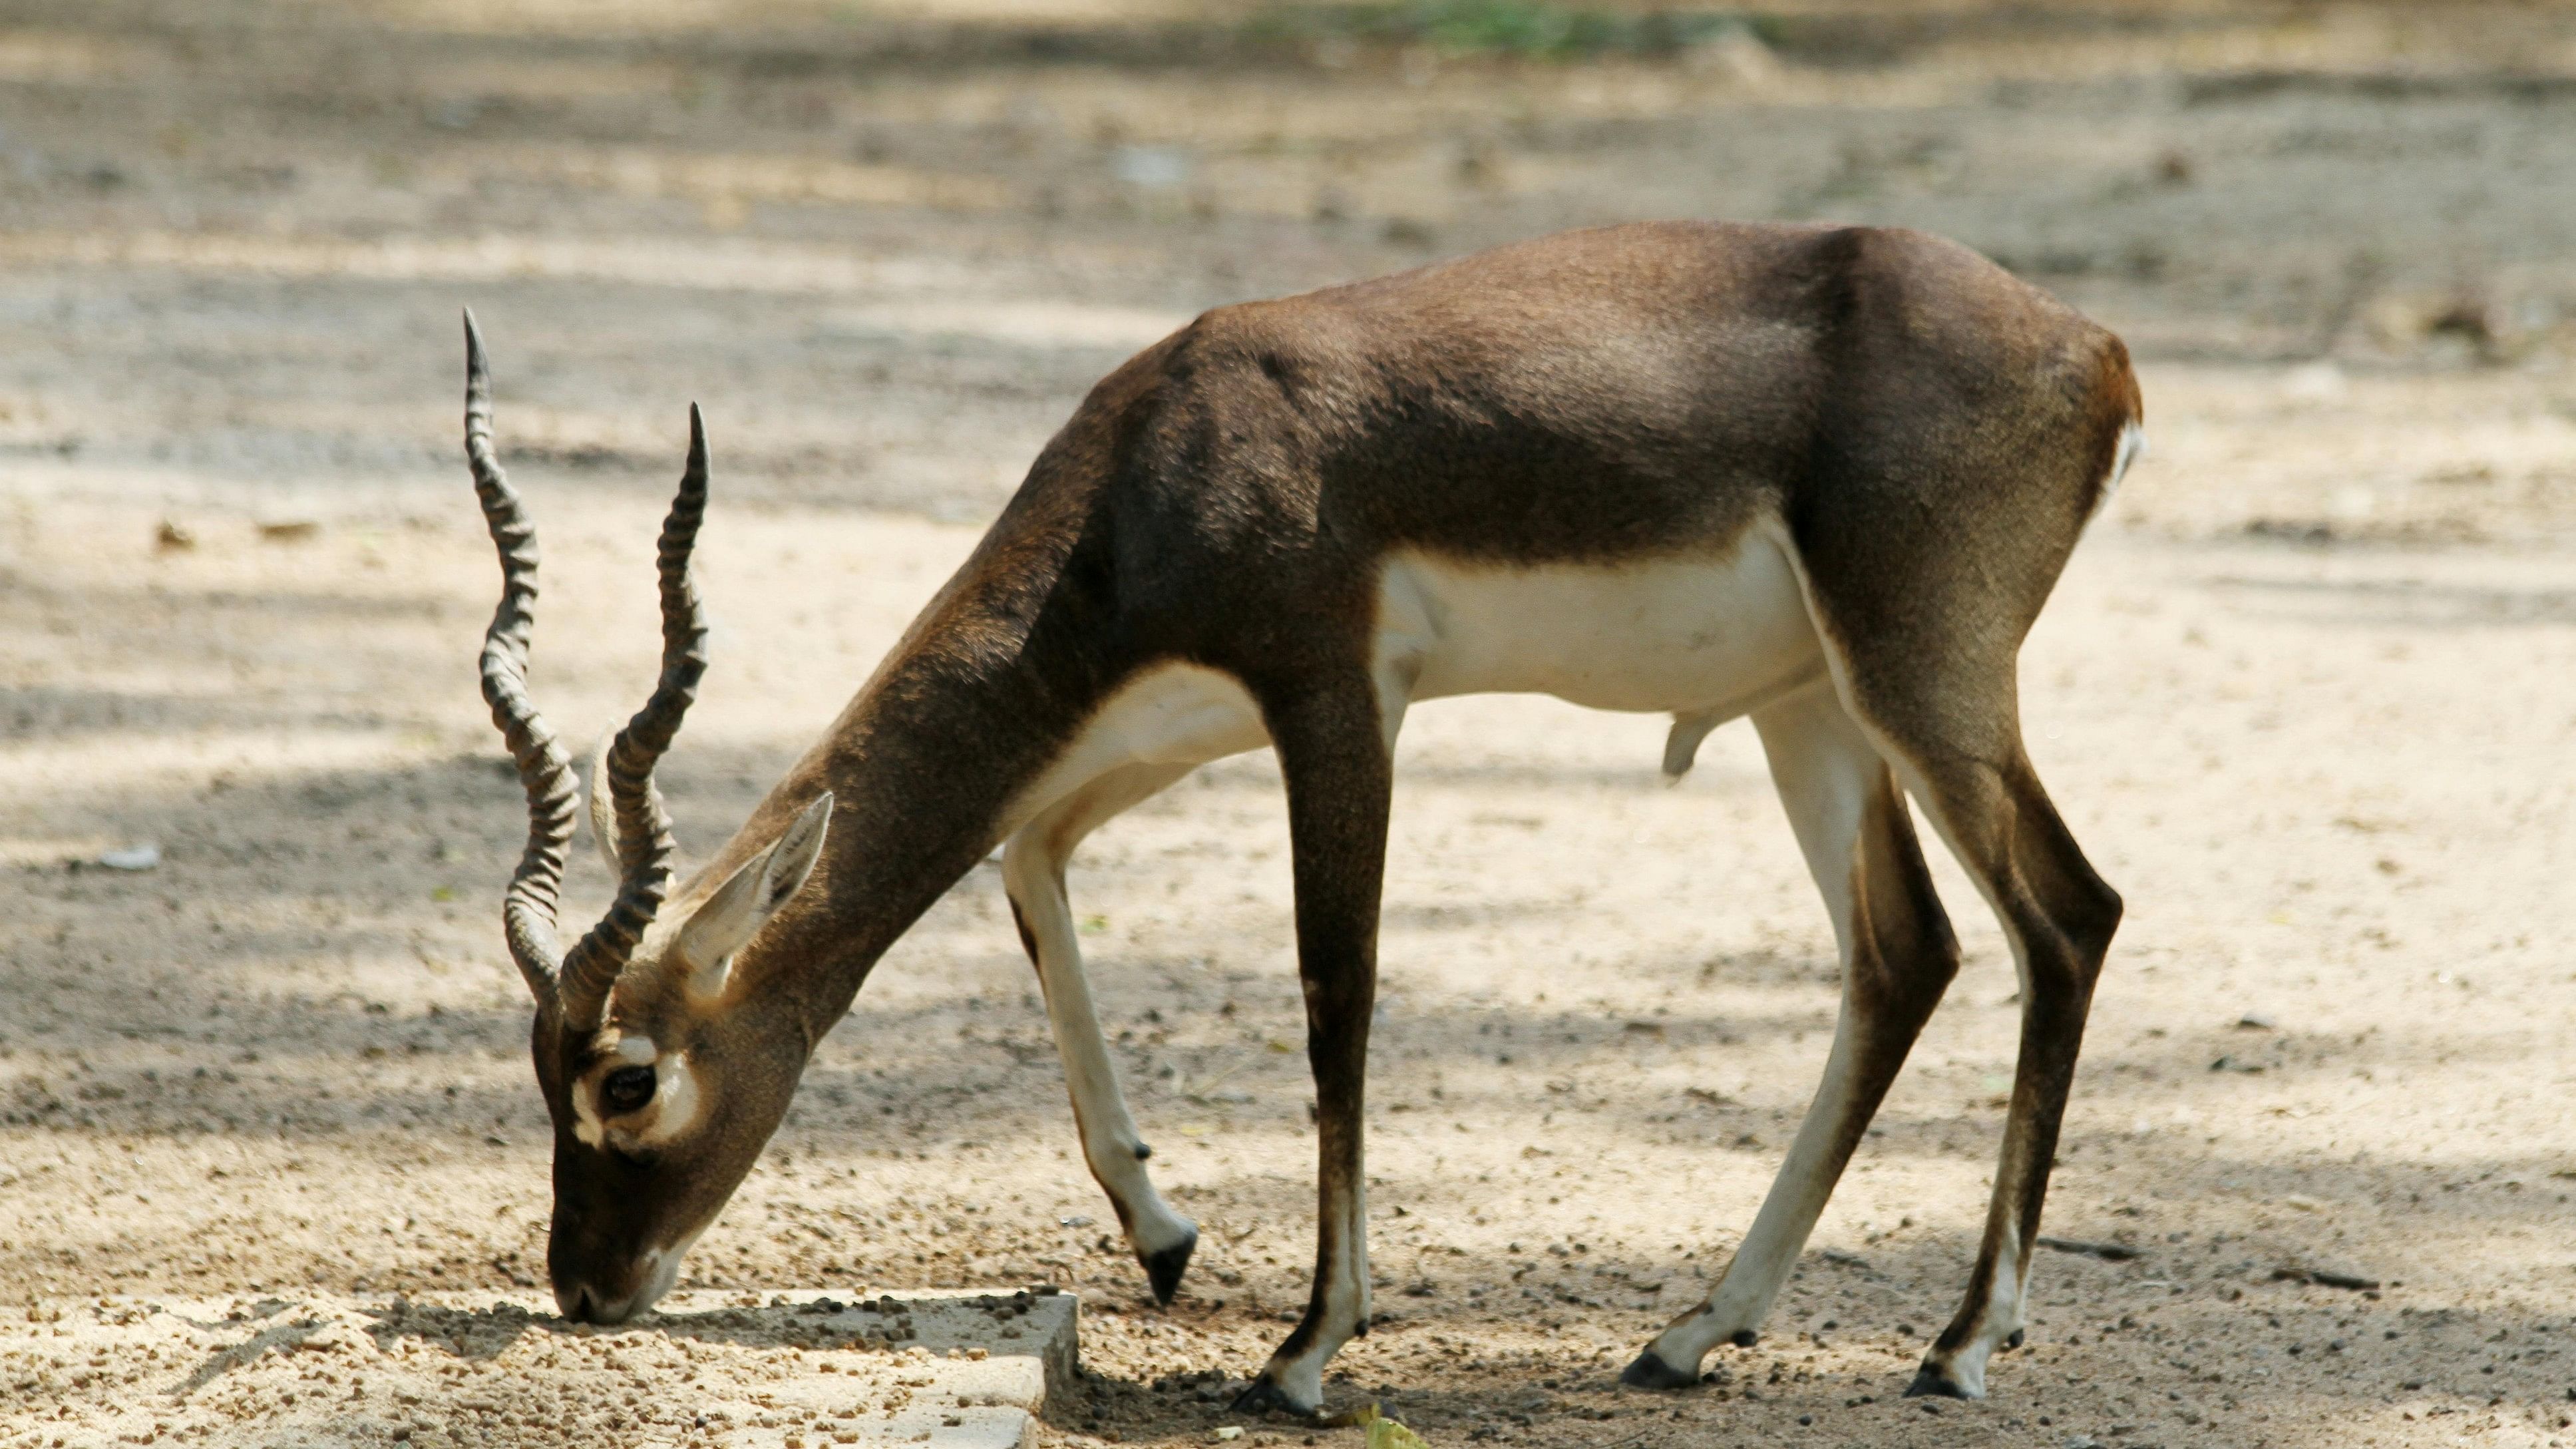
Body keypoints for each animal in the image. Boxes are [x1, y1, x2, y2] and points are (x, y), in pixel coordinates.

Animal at [463, 220, 2133, 1402]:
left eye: (626, 1078)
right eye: (538, 1074)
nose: (586, 1286)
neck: (1163, 454)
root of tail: (2095, 346)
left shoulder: (1333, 694)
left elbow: (1338, 990)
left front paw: (1306, 1350)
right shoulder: (1152, 724)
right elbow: (1028, 860)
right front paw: (1162, 1233)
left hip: (1922, 679)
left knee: (2067, 913)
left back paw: (1959, 1346)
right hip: (1811, 705)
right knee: (1905, 952)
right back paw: (1692, 1332)